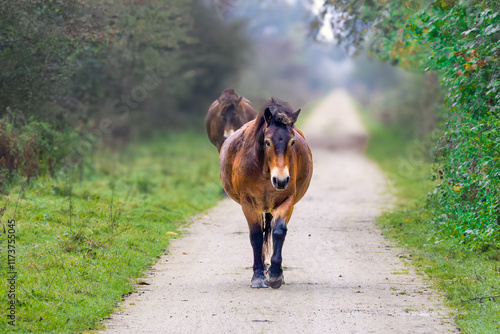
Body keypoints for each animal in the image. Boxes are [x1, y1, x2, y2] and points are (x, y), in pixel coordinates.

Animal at [220, 98, 312, 288]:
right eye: (267, 142)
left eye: (292, 142)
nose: (281, 180)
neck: (264, 169)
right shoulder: (248, 203)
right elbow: (256, 236)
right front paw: (258, 276)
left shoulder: (287, 200)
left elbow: (279, 231)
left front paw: (275, 275)